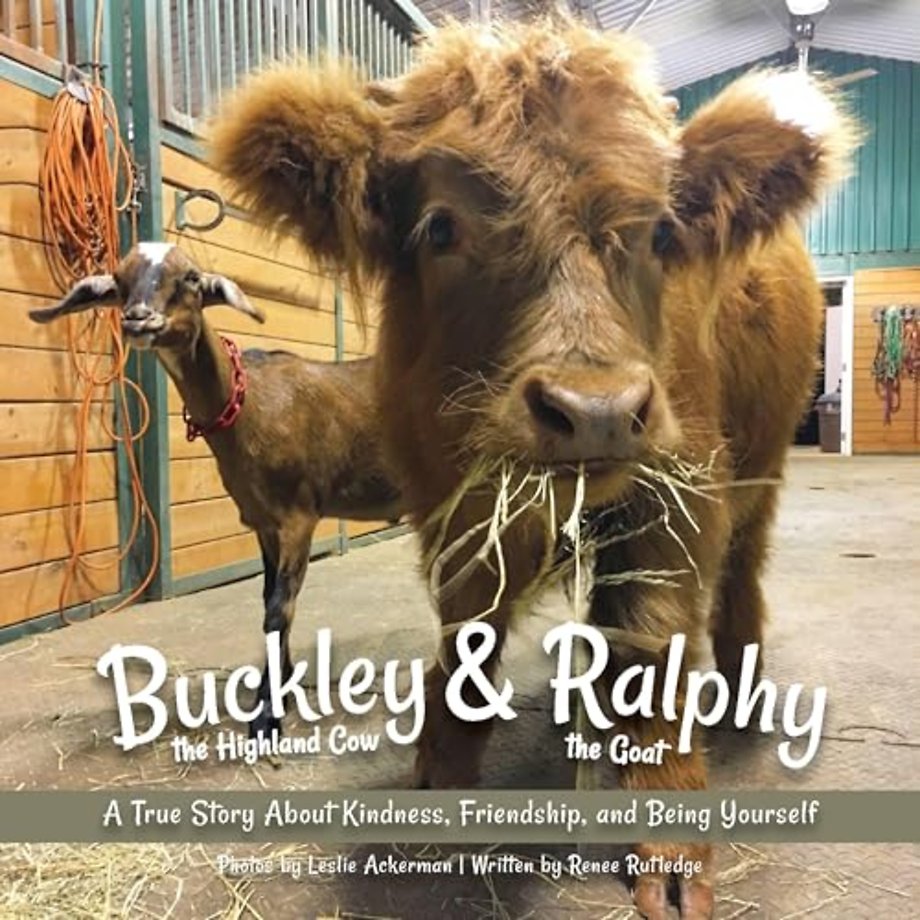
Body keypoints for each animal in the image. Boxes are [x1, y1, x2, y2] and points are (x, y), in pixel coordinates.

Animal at [29, 242, 403, 738]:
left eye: (191, 277)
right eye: (120, 278)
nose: (139, 319)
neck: (249, 404)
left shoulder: (298, 515)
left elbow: (279, 608)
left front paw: (267, 715)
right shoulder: (263, 520)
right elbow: (268, 599)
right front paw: (278, 687)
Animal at [209, 19, 858, 918]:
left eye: (662, 233)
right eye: (441, 228)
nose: (595, 410)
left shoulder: (673, 502)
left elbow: (652, 645)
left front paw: (671, 848)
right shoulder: (453, 503)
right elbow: (468, 633)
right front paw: (441, 770)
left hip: (756, 471)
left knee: (740, 577)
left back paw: (738, 685)